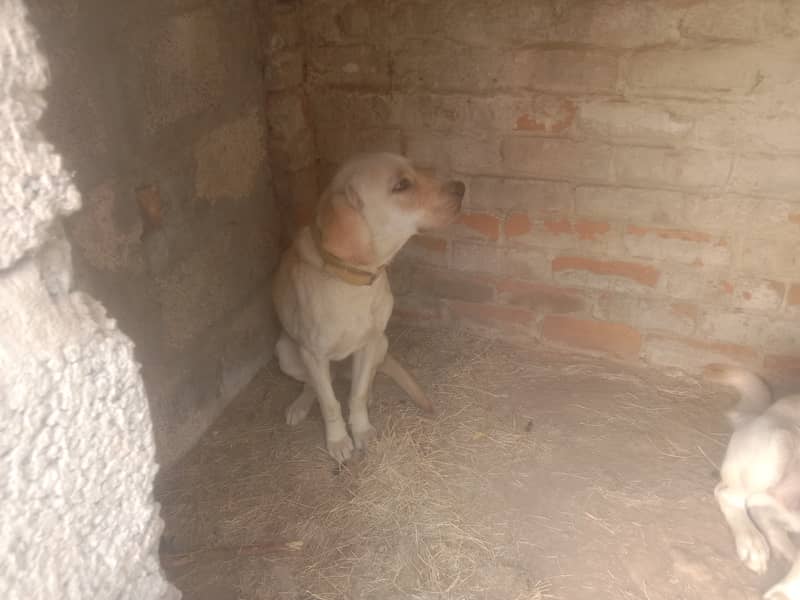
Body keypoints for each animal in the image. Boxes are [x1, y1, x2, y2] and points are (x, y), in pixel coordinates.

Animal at [274, 152, 466, 462]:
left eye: (415, 169)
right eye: (401, 185)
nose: (462, 187)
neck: (355, 285)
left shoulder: (369, 342)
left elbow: (357, 394)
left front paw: (361, 429)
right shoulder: (313, 354)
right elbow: (329, 403)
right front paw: (338, 440)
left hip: (382, 344)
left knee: (366, 377)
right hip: (286, 353)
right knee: (313, 385)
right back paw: (300, 404)